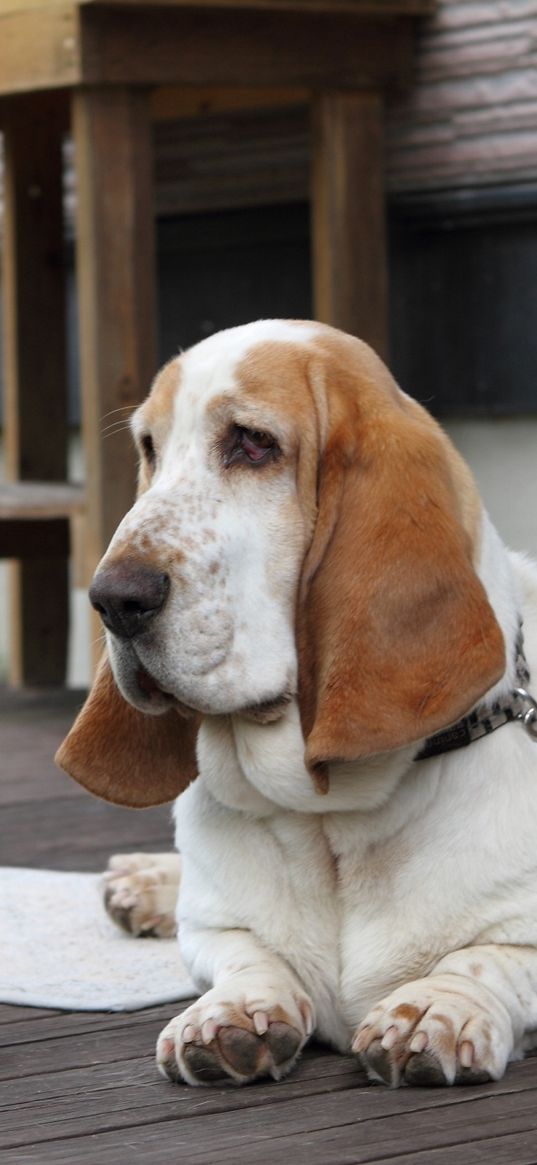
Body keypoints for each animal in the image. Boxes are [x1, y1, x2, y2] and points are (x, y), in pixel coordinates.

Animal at [56, 316, 535, 1081]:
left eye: (252, 443)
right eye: (149, 448)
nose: (111, 599)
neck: (326, 818)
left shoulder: (517, 940)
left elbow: (488, 959)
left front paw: (433, 1009)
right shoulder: (217, 930)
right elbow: (243, 951)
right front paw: (231, 1013)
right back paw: (147, 883)